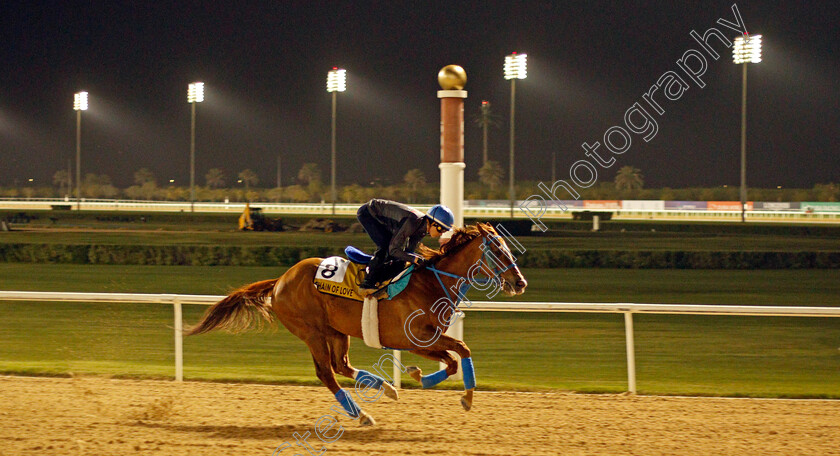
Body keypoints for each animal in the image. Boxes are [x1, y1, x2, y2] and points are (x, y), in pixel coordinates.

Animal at [186, 223, 524, 426]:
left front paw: (421, 377)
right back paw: (361, 415)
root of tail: (281, 279)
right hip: (311, 331)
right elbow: (460, 352)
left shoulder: (425, 341)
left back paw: (386, 388)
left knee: (341, 365)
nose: (519, 283)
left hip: (337, 331)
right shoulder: (415, 339)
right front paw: (460, 395)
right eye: (497, 250)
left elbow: (455, 359)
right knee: (326, 372)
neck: (431, 282)